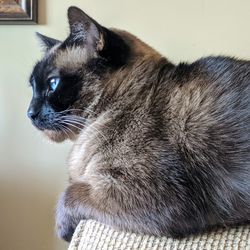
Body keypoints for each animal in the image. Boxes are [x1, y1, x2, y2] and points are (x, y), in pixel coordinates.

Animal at [27, 6, 250, 242]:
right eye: (32, 87)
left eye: (53, 84)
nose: (29, 113)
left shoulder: (130, 189)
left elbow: (69, 193)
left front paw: (64, 231)